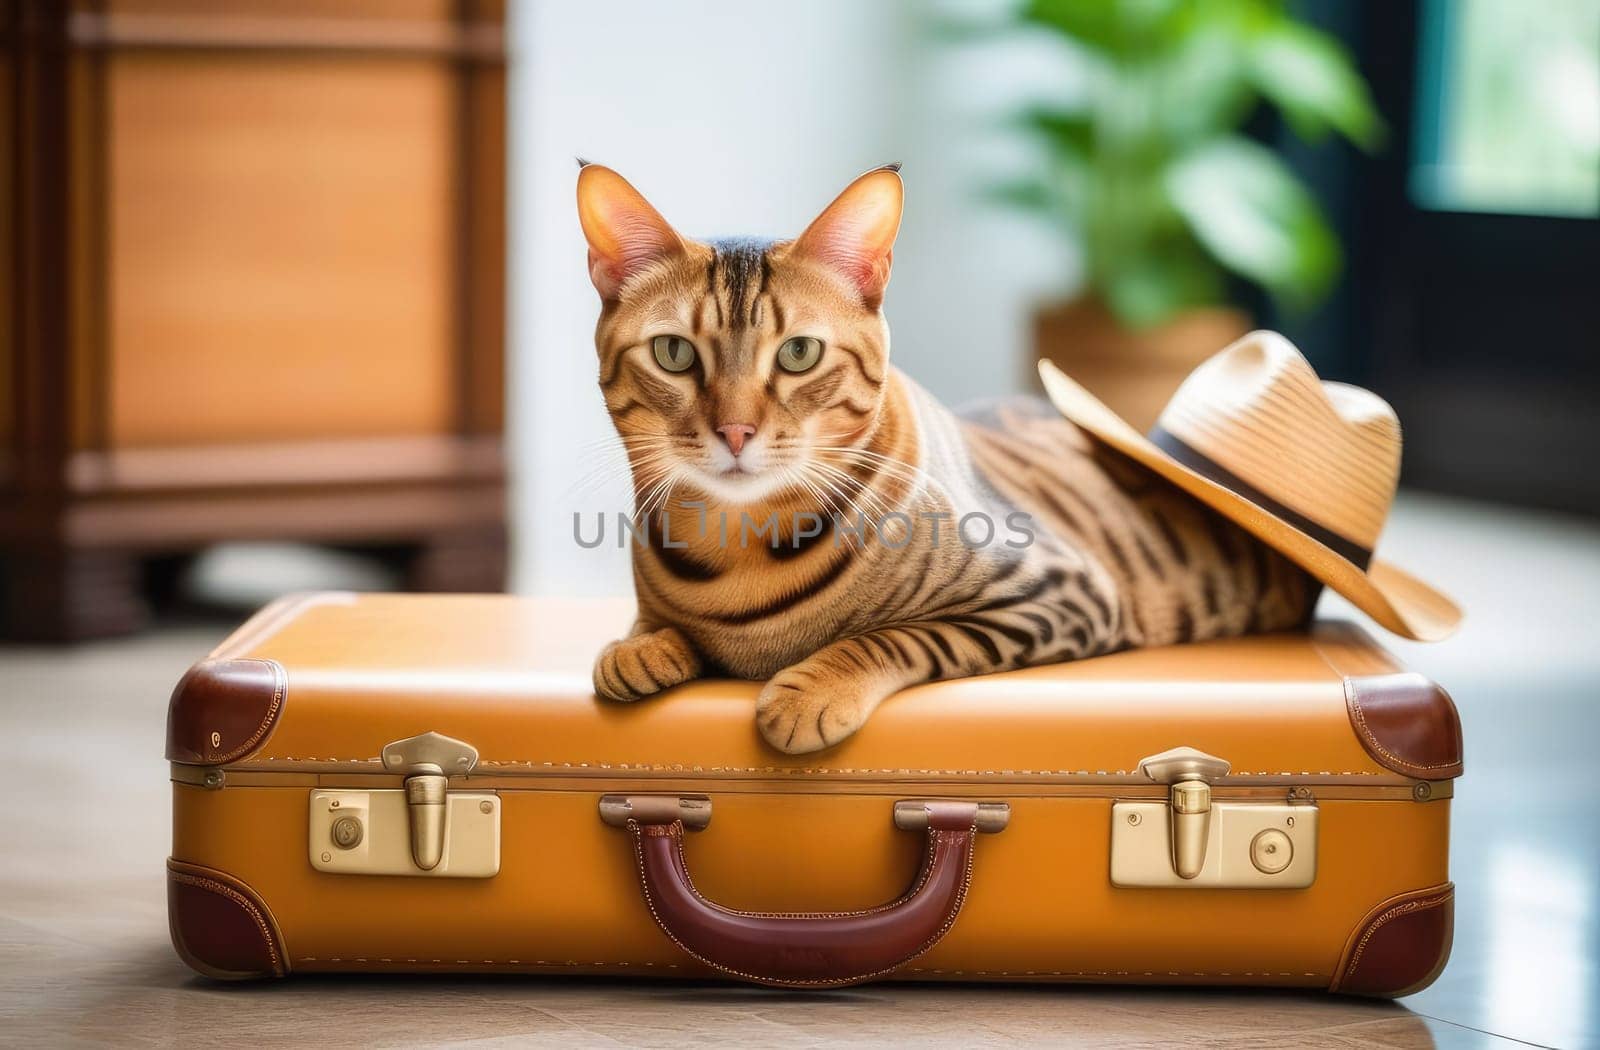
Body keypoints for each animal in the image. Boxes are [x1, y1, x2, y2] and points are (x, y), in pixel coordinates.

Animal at [576, 161, 1312, 755]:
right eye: (674, 353)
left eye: (799, 353)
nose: (734, 431)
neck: (740, 555)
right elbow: (655, 623)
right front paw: (637, 648)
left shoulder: (1058, 593)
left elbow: (897, 636)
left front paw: (812, 689)